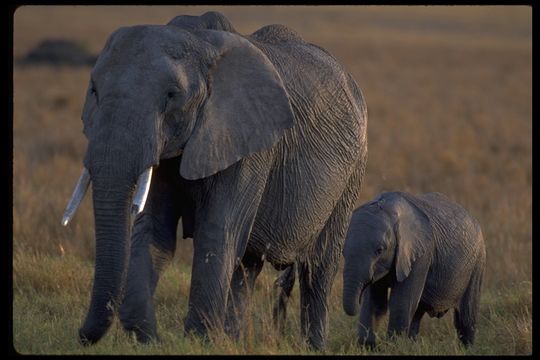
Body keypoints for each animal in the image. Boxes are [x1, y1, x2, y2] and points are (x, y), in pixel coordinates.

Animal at [62, 11, 368, 352]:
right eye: (93, 90)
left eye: (172, 96)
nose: (82, 336)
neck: (199, 42)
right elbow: (154, 229)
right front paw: (149, 336)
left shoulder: (249, 143)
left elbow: (217, 231)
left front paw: (197, 341)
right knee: (247, 266)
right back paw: (233, 340)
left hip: (352, 172)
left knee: (318, 267)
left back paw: (311, 347)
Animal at [344, 190, 488, 348]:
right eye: (342, 251)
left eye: (379, 250)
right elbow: (375, 303)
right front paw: (368, 346)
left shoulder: (421, 254)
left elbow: (400, 302)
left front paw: (394, 347)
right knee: (417, 313)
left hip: (477, 262)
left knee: (465, 317)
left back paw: (468, 348)